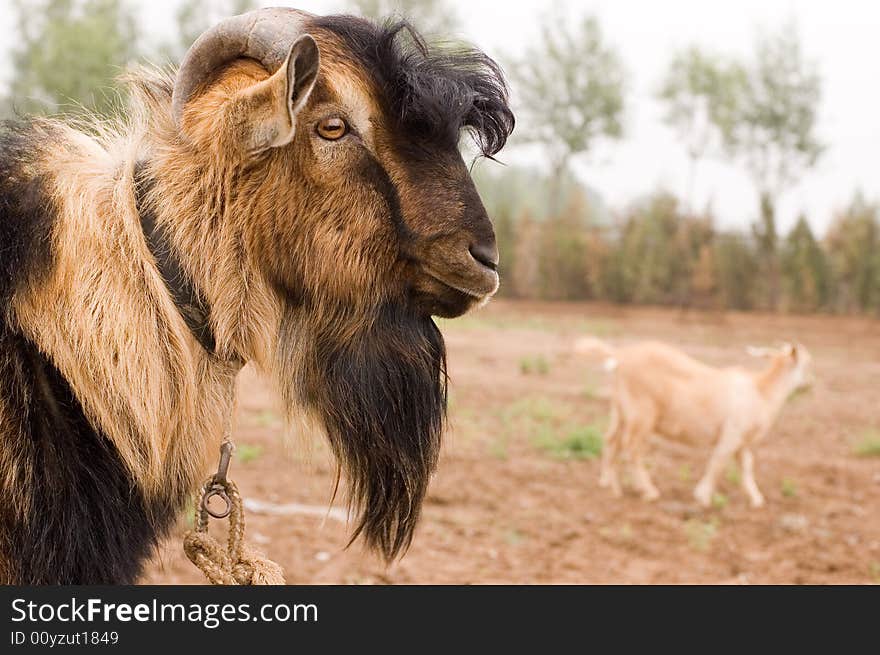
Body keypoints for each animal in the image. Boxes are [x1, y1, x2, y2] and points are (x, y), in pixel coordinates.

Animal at [576, 338, 816, 508]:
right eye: (806, 364)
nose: (810, 385)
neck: (762, 391)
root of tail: (621, 355)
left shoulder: (742, 443)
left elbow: (747, 466)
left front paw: (756, 499)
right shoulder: (731, 435)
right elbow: (717, 463)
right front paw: (703, 496)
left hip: (620, 410)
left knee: (611, 441)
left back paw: (608, 485)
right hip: (641, 414)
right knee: (631, 450)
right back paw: (647, 491)